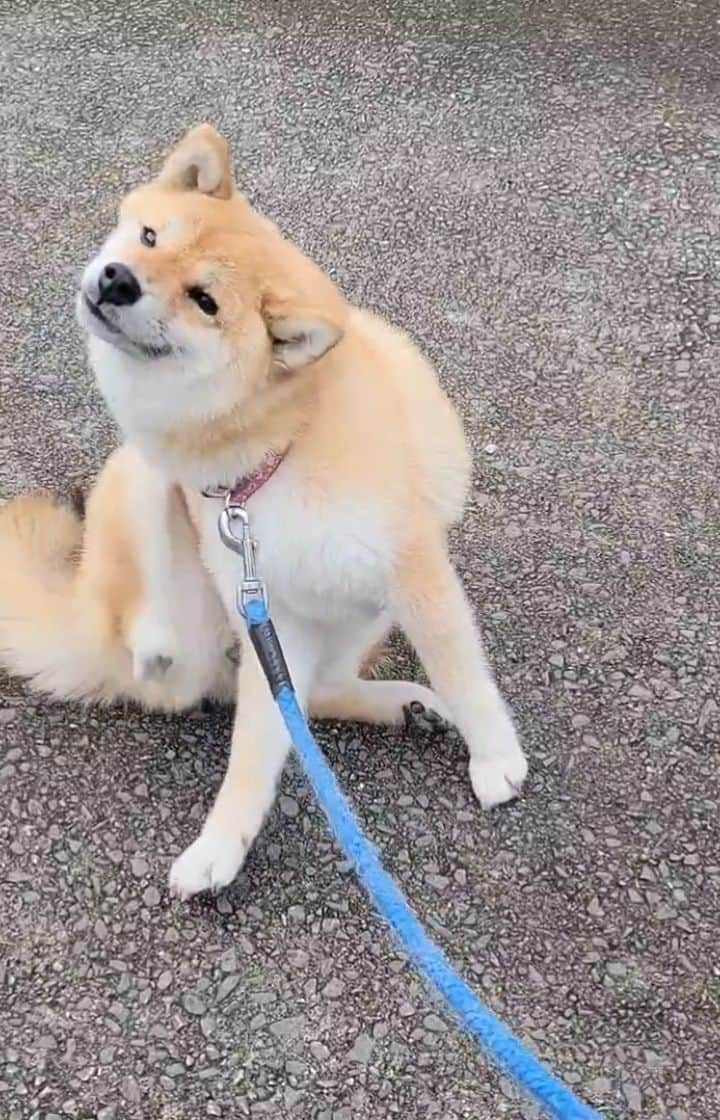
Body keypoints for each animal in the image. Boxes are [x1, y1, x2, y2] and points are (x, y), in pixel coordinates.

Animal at [1, 122, 528, 896]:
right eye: (150, 236)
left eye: (204, 300)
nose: (119, 278)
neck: (278, 448)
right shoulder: (270, 614)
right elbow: (256, 747)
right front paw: (220, 845)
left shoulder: (408, 567)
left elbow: (460, 669)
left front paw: (494, 757)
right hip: (140, 490)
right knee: (160, 641)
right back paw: (156, 641)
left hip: (356, 609)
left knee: (319, 692)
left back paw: (406, 705)